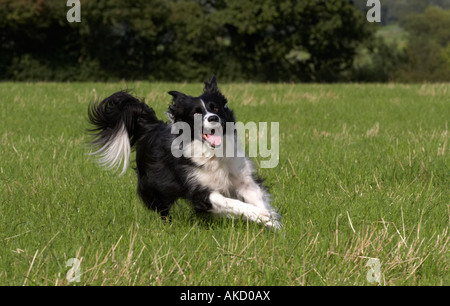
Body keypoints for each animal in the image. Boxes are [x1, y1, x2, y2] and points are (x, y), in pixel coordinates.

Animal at [88, 76, 282, 230]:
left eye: (216, 108)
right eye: (196, 113)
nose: (213, 118)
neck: (213, 154)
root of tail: (152, 125)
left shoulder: (244, 180)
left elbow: (258, 199)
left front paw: (273, 224)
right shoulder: (200, 192)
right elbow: (232, 203)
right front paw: (262, 216)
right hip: (153, 185)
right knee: (162, 207)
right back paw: (167, 226)